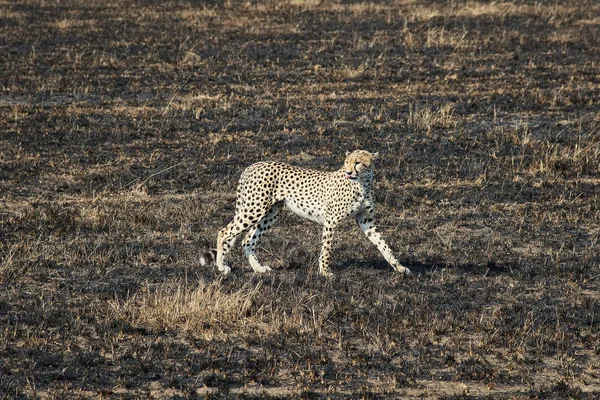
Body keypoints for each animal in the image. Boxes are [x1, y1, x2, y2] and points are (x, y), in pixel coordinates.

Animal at [202, 150, 412, 278]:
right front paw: (325, 272)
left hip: (270, 213)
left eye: (358, 163)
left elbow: (384, 245)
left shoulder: (366, 220)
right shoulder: (331, 219)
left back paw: (259, 269)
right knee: (224, 231)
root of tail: (252, 165)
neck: (362, 183)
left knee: (247, 240)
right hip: (254, 209)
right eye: (346, 162)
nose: (348, 172)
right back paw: (221, 267)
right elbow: (327, 248)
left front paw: (399, 267)